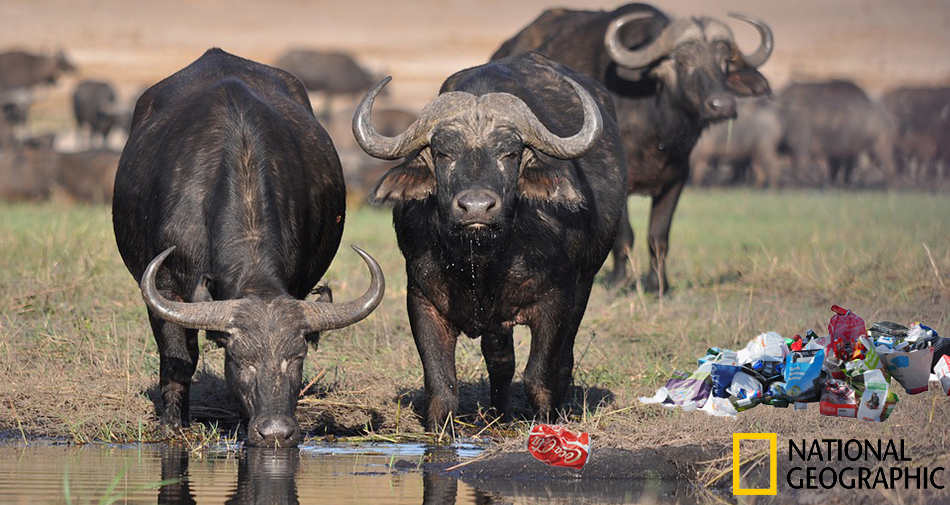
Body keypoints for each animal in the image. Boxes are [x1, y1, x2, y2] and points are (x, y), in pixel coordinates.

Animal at [114, 49, 386, 446]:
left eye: (297, 358)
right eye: (241, 360)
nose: (276, 431)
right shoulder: (164, 287)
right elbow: (179, 356)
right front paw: (173, 424)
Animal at [354, 52, 628, 430]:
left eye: (510, 153)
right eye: (442, 152)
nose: (476, 207)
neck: (482, 258)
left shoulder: (558, 300)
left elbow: (540, 375)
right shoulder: (422, 299)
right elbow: (441, 384)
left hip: (584, 284)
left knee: (561, 359)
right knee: (500, 360)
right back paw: (500, 416)